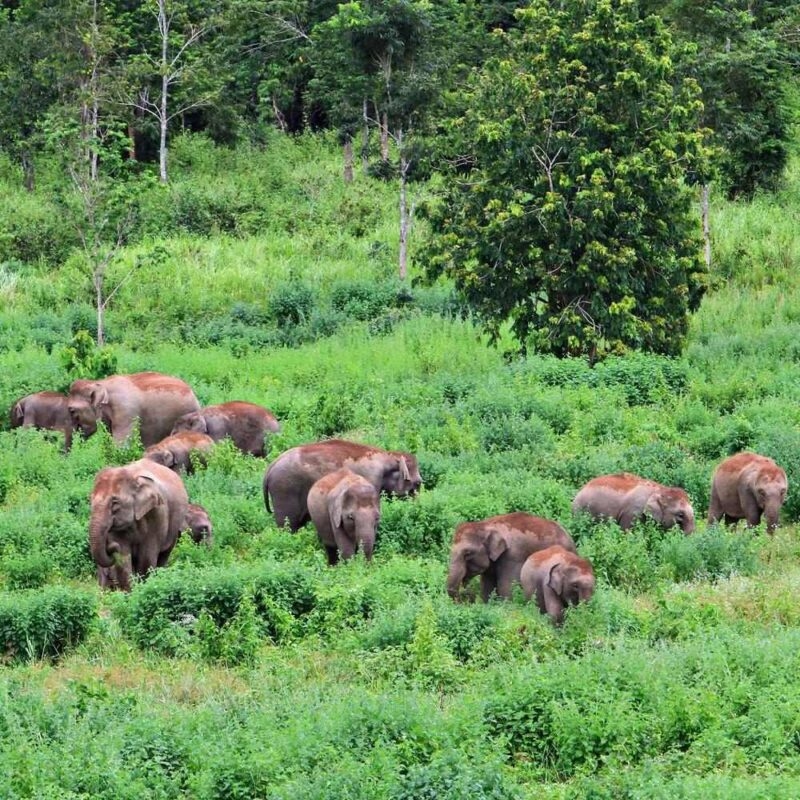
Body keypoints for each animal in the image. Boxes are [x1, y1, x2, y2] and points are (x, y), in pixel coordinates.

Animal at [89, 458, 189, 591]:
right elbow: (123, 557)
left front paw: (143, 589)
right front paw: (129, 592)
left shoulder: (157, 513)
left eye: (115, 503)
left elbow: (147, 557)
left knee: (164, 554)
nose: (111, 546)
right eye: (90, 500)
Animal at [446, 512, 577, 602]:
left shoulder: (512, 555)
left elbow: (506, 586)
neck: (486, 525)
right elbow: (487, 585)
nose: (468, 594)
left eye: (467, 553)